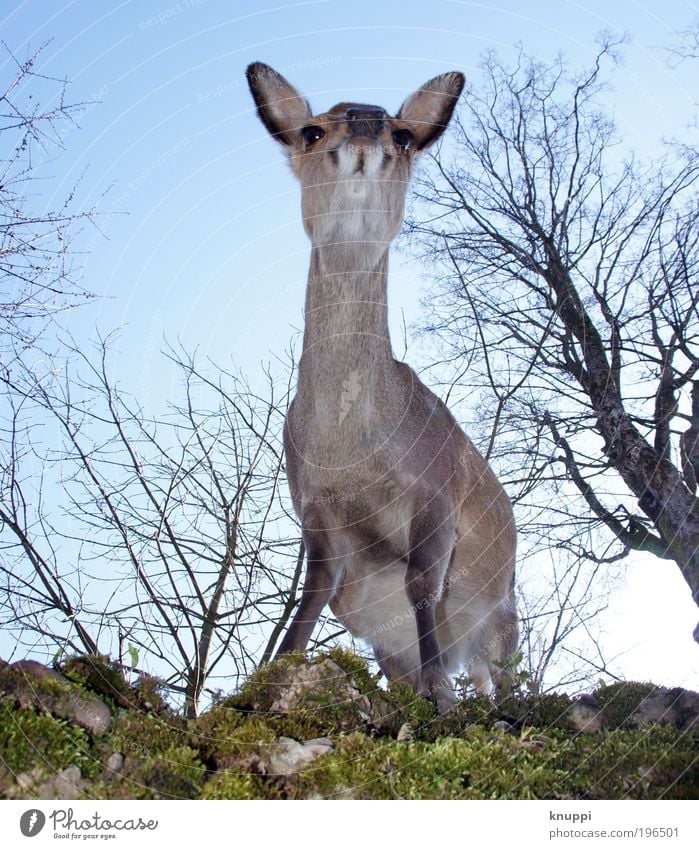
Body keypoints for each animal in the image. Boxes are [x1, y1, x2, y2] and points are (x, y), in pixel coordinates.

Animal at [247, 63, 520, 708]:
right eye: (312, 131)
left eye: (403, 135)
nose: (367, 123)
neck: (352, 448)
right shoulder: (315, 508)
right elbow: (311, 596)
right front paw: (266, 679)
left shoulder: (436, 488)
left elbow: (423, 582)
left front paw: (441, 695)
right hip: (384, 637)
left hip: (505, 617)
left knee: (503, 673)